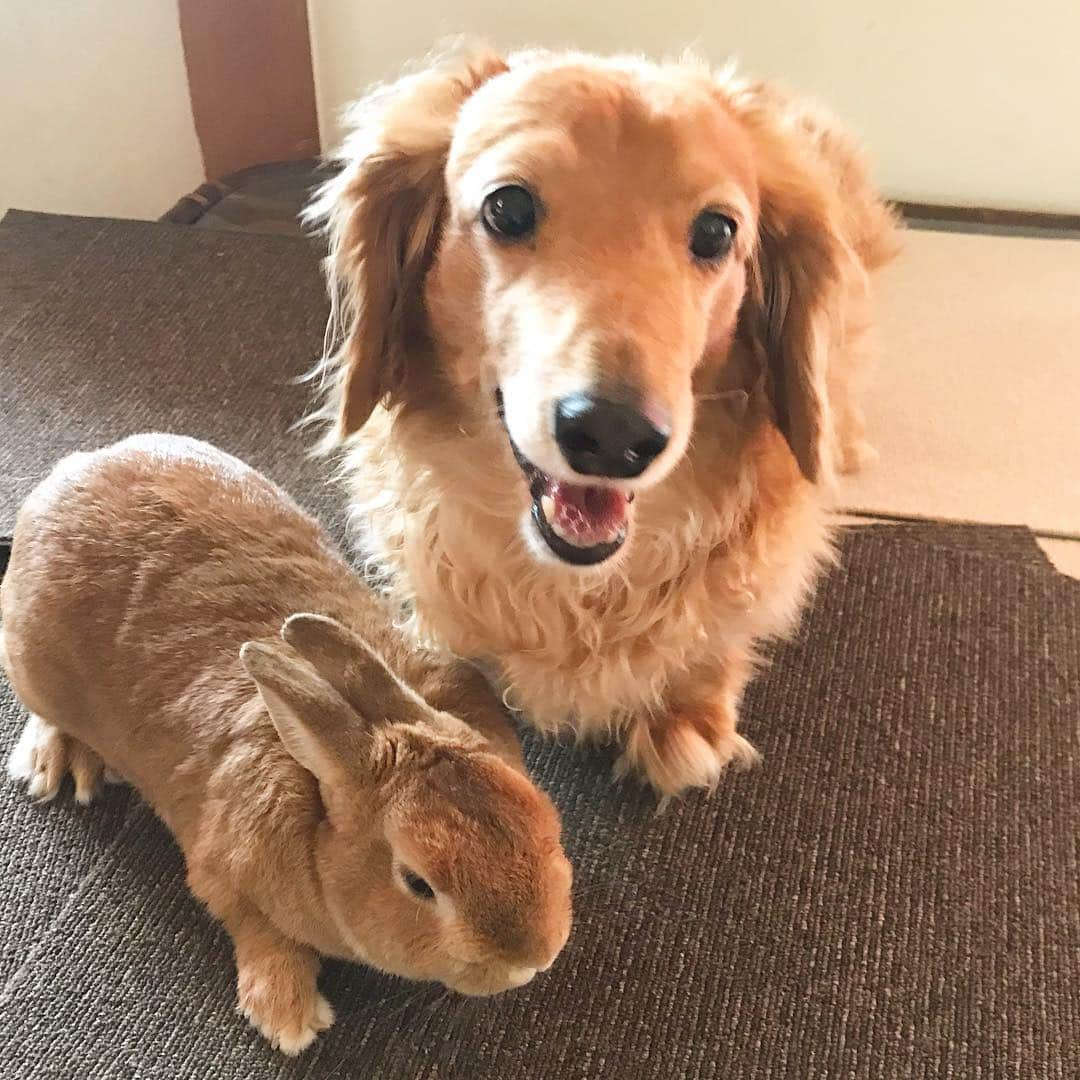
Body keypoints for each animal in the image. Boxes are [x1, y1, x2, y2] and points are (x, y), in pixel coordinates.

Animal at [0, 432, 570, 1054]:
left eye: (541, 819)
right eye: (418, 883)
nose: (534, 959)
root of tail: (69, 471)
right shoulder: (221, 876)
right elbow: (260, 933)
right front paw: (288, 1018)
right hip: (29, 661)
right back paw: (59, 762)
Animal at [308, 46, 898, 799]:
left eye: (717, 230)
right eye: (508, 207)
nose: (615, 437)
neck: (578, 590)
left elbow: (718, 638)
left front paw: (689, 712)